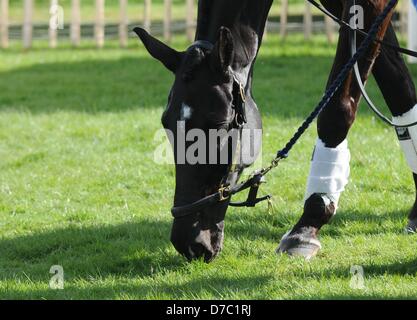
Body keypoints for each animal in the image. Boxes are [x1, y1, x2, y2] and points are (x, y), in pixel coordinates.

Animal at [134, 0, 416, 262]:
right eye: (166, 123)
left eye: (220, 125)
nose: (189, 243)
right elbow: (399, 90)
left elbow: (337, 109)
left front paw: (308, 224)